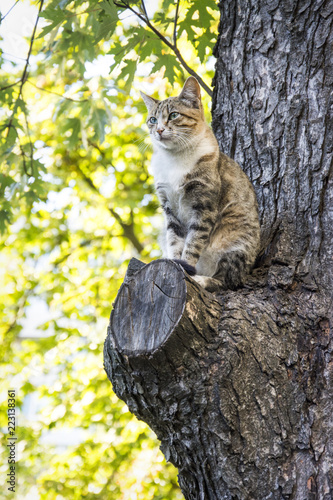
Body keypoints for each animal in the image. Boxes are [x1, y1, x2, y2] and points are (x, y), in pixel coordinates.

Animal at [140, 76, 260, 292]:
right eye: (152, 119)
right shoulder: (169, 208)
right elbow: (174, 241)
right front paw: (174, 262)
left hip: (236, 242)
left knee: (226, 280)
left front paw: (186, 269)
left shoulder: (204, 206)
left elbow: (193, 243)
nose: (159, 130)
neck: (175, 159)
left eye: (174, 115)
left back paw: (202, 279)